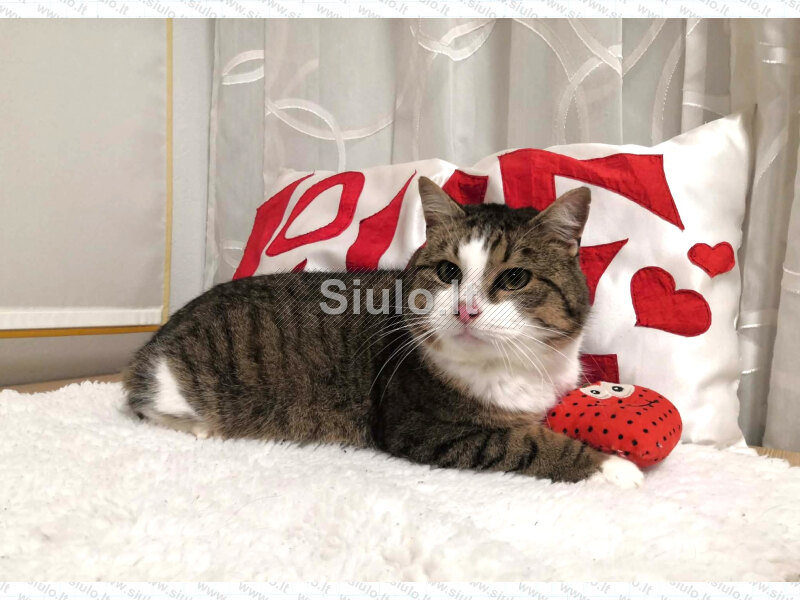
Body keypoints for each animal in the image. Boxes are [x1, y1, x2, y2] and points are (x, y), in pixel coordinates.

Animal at [124, 177, 643, 488]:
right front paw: (611, 465)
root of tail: (154, 343)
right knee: (149, 408)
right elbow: (527, 443)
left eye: (514, 278)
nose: (466, 310)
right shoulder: (421, 426)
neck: (507, 367)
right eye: (448, 272)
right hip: (178, 387)